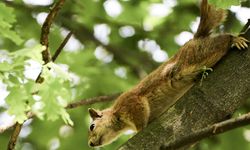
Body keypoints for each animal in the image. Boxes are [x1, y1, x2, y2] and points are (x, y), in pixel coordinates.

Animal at [87, 0, 248, 147]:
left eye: (92, 126)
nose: (90, 144)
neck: (117, 116)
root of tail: (196, 38)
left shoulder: (131, 102)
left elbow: (139, 115)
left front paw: (140, 130)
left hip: (192, 59)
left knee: (222, 41)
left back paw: (235, 39)